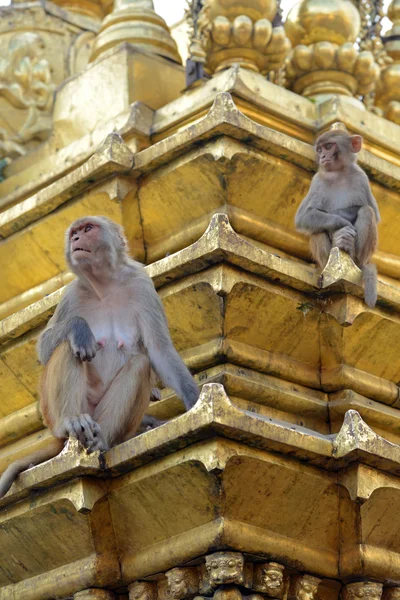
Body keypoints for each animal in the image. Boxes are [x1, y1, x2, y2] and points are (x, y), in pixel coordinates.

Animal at [0, 216, 200, 496]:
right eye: (74, 232)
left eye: (87, 229)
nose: (75, 238)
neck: (104, 285)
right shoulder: (71, 294)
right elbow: (44, 347)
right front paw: (79, 328)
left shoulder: (142, 285)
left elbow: (159, 350)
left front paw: (194, 401)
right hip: (53, 412)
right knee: (67, 346)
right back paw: (71, 422)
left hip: (106, 420)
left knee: (140, 364)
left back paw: (102, 440)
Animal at [296, 124, 380, 308]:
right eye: (319, 149)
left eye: (329, 146)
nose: (323, 156)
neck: (339, 174)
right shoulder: (317, 181)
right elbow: (303, 217)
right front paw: (340, 222)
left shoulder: (361, 177)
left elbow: (373, 212)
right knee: (317, 229)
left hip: (361, 258)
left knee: (367, 212)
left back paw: (352, 251)